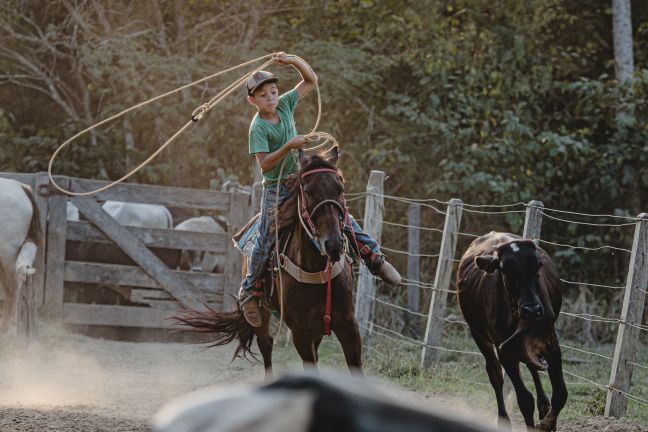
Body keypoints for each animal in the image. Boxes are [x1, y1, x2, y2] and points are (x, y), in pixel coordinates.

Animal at [177, 147, 362, 380]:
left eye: (340, 188)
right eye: (308, 190)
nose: (334, 244)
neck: (317, 271)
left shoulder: (348, 325)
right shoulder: (300, 332)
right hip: (262, 312)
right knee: (266, 343)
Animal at [456, 233, 568, 432]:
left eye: (537, 268)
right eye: (506, 272)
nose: (532, 310)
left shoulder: (551, 343)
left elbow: (560, 394)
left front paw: (548, 423)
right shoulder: (504, 350)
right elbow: (524, 400)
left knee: (533, 367)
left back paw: (544, 406)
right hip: (479, 334)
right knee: (495, 375)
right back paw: (504, 419)